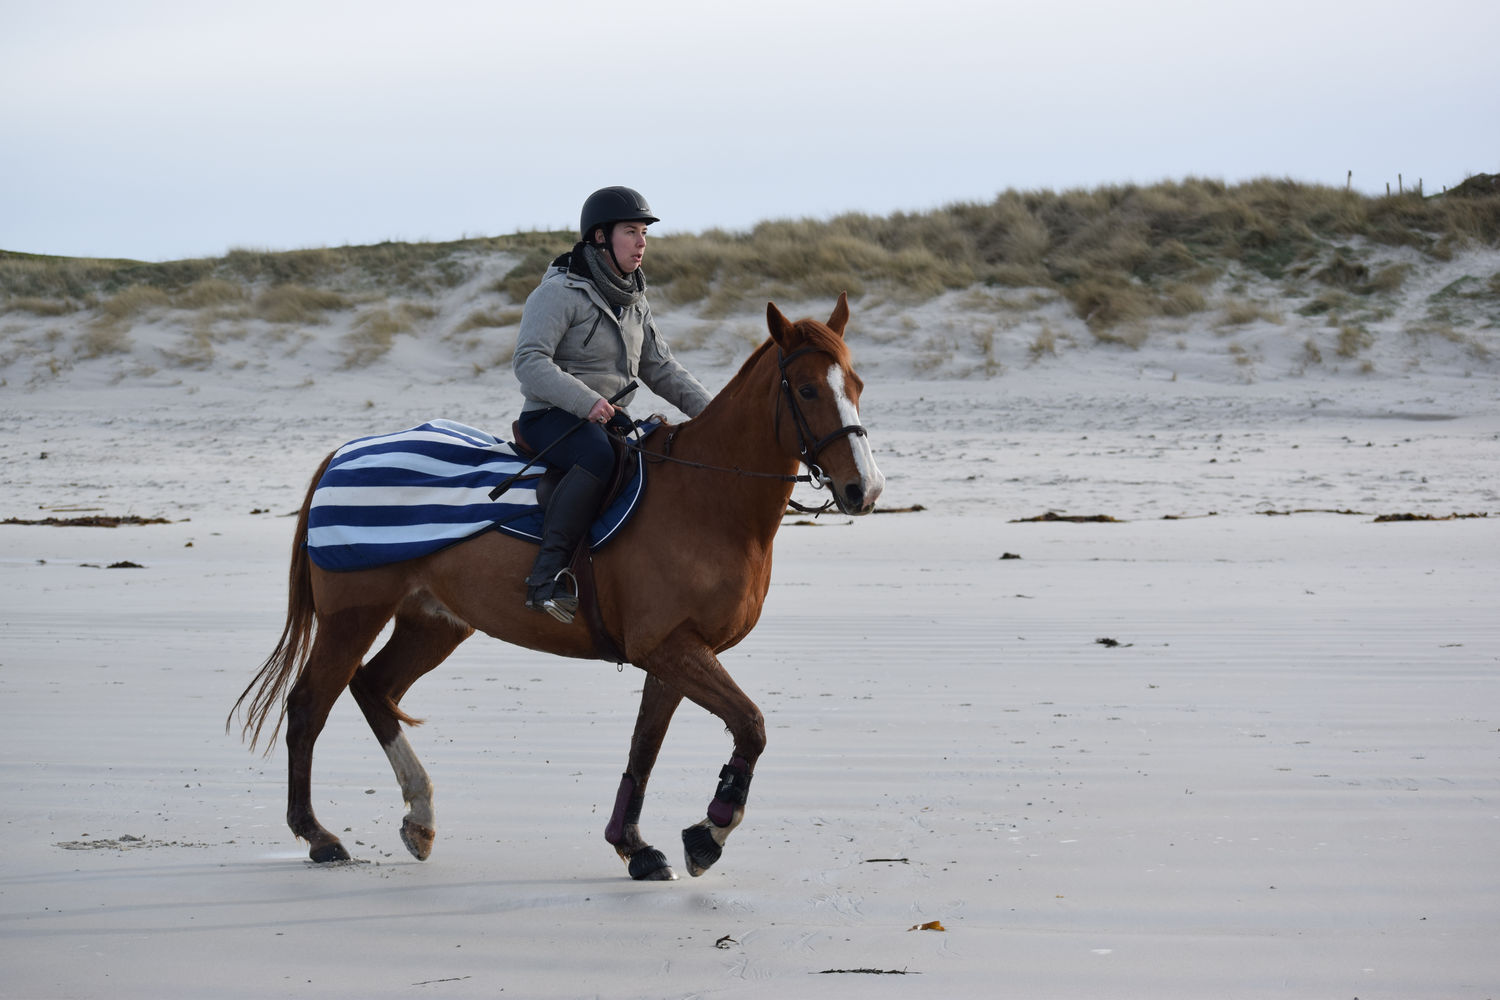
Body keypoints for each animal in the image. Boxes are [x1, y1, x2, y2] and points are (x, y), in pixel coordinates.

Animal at [228, 293, 882, 881]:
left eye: (856, 384)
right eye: (806, 391)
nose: (864, 490)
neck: (706, 500)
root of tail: (345, 453)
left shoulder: (675, 655)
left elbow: (645, 748)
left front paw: (634, 845)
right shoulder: (669, 647)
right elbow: (751, 724)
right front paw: (710, 832)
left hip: (433, 623)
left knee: (373, 687)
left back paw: (419, 817)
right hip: (353, 617)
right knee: (309, 706)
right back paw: (318, 835)